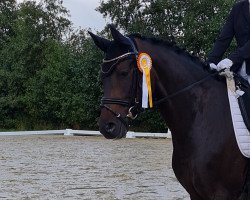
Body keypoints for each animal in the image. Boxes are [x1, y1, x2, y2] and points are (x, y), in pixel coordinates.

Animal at [89, 25, 249, 199]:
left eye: (124, 72)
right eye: (102, 76)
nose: (107, 127)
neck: (200, 116)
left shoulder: (221, 193)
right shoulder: (195, 193)